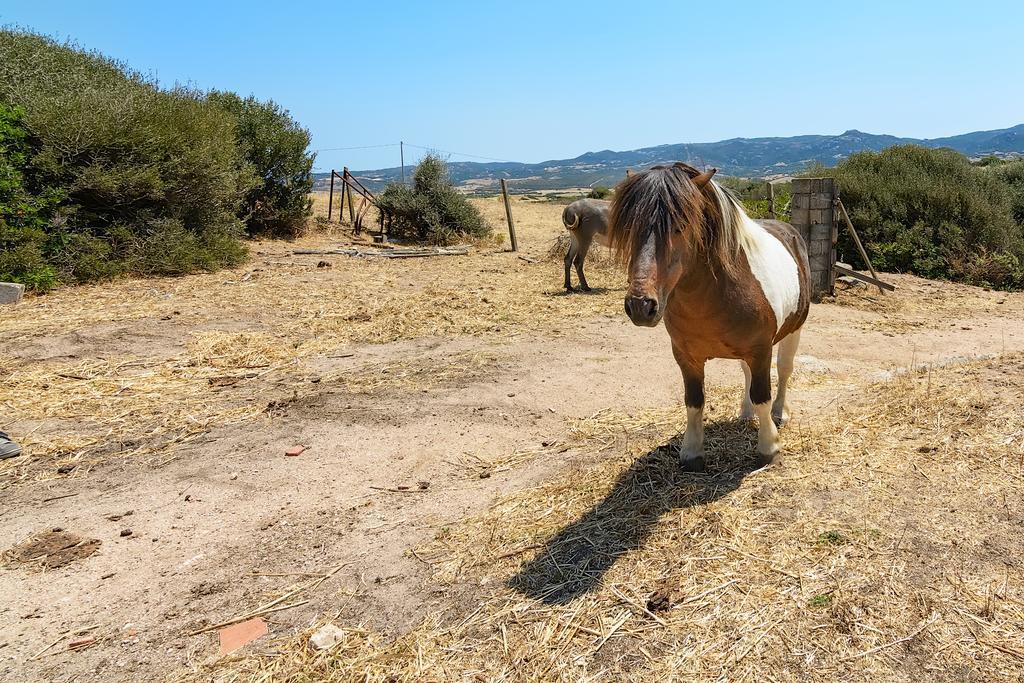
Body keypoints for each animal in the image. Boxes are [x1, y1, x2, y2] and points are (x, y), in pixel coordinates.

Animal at [606, 161, 806, 471]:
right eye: (630, 227)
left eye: (680, 226)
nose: (640, 305)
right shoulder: (686, 356)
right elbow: (694, 401)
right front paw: (692, 453)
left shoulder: (760, 349)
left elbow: (763, 395)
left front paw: (769, 447)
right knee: (747, 373)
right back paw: (746, 412)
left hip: (793, 330)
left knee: (784, 370)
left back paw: (780, 412)